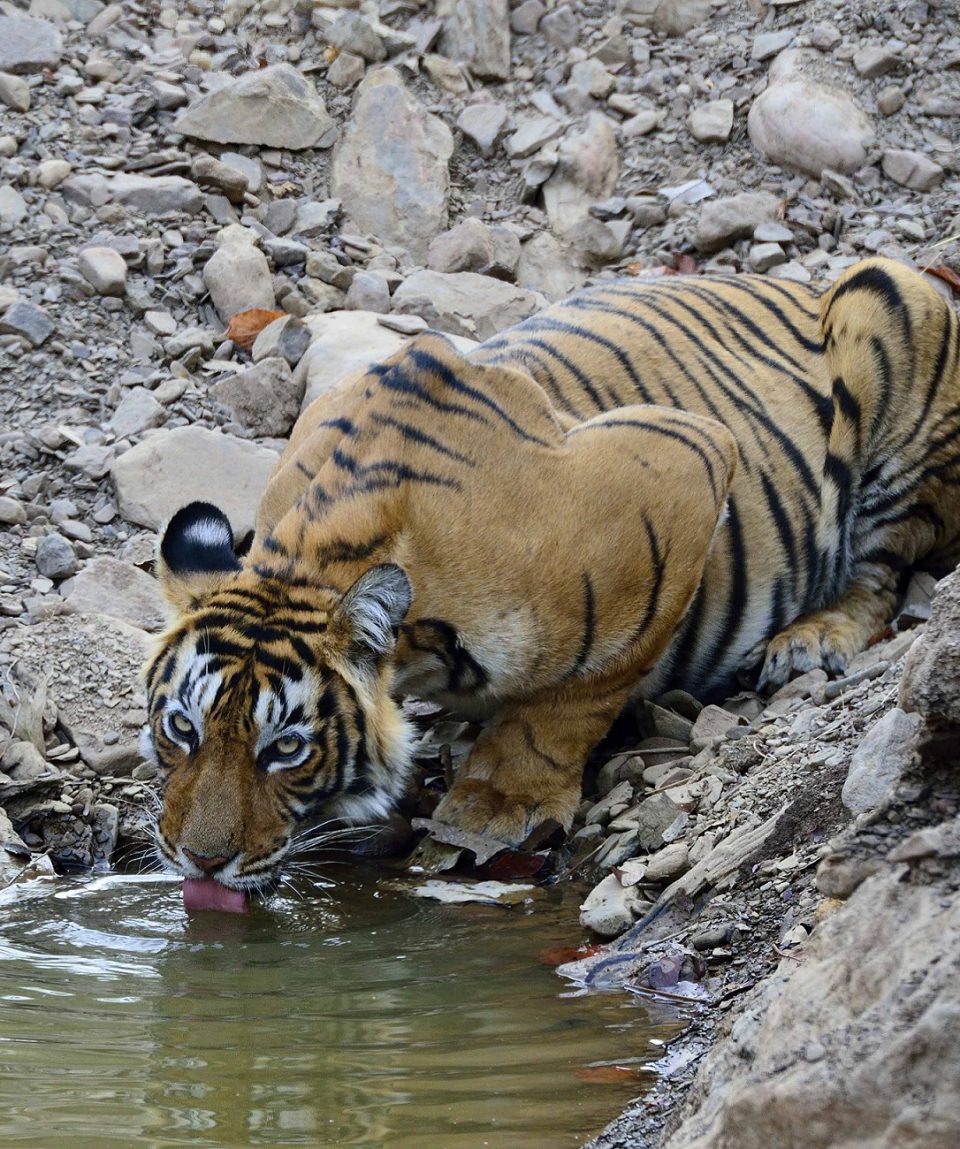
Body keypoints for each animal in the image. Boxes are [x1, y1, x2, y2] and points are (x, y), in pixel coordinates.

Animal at [142, 260, 960, 896]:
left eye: (285, 748)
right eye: (181, 728)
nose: (201, 861)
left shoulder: (685, 467)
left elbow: (575, 697)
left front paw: (498, 802)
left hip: (890, 303)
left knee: (881, 573)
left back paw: (812, 638)